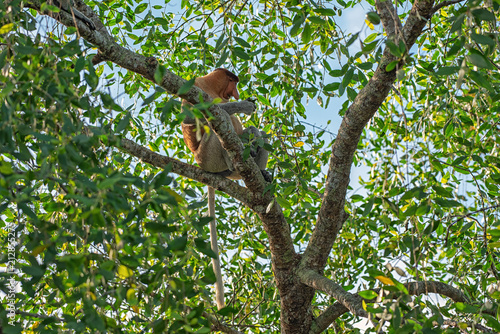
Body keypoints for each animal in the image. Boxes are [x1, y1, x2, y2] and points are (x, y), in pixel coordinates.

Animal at [182, 68, 270, 310]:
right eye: (234, 84)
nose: (237, 93)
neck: (211, 86)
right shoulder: (194, 85)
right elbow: (190, 116)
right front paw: (244, 105)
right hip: (208, 157)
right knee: (217, 125)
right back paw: (233, 161)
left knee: (254, 131)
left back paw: (260, 172)